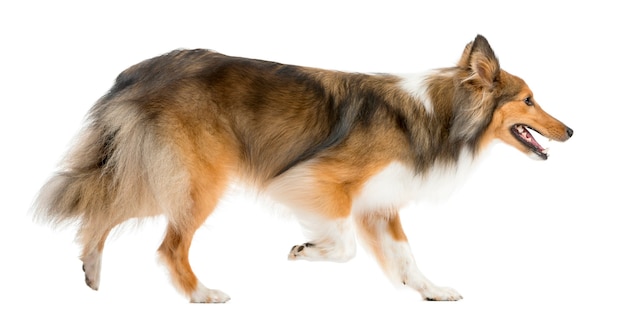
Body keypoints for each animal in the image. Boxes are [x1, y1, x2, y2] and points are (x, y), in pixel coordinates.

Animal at [33, 35, 572, 302]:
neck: (440, 113)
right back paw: (201, 295)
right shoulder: (316, 179)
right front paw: (305, 250)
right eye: (529, 99)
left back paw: (92, 270)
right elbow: (346, 247)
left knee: (102, 209)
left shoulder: (380, 204)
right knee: (167, 246)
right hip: (198, 181)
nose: (570, 131)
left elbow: (406, 258)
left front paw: (432, 292)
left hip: (161, 176)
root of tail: (135, 72)